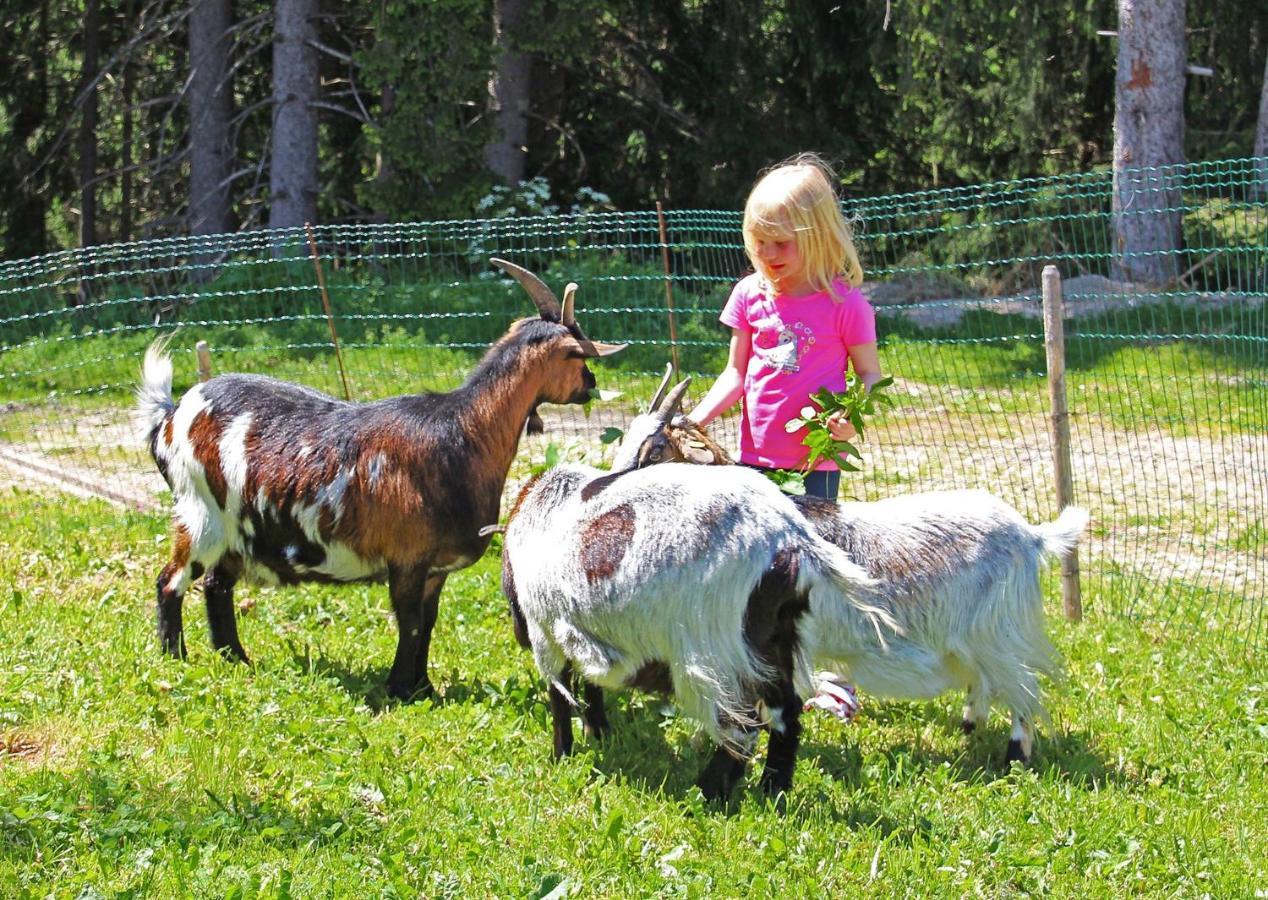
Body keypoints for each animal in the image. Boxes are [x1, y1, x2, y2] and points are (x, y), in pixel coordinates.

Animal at [137, 261, 623, 704]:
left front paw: (424, 688)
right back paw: (175, 659)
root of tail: (170, 414)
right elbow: (409, 622)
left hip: (239, 532)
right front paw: (399, 689)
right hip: (200, 515)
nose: (591, 384)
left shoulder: (434, 569)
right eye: (579, 356)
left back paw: (235, 658)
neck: (461, 434)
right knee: (170, 581)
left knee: (216, 585)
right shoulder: (407, 558)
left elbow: (428, 622)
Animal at [494, 461, 892, 801]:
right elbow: (591, 684)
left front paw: (561, 755)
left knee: (742, 727)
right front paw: (599, 732)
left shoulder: (545, 631)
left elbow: (559, 695)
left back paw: (707, 793)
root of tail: (793, 542)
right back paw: (771, 791)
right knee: (786, 716)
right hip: (773, 643)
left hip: (713, 652)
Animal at [608, 377, 1085, 765]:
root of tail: (1031, 534)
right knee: (985, 679)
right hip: (971, 632)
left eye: (655, 450)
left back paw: (1014, 756)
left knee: (1023, 686)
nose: (605, 489)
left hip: (996, 625)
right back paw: (970, 726)